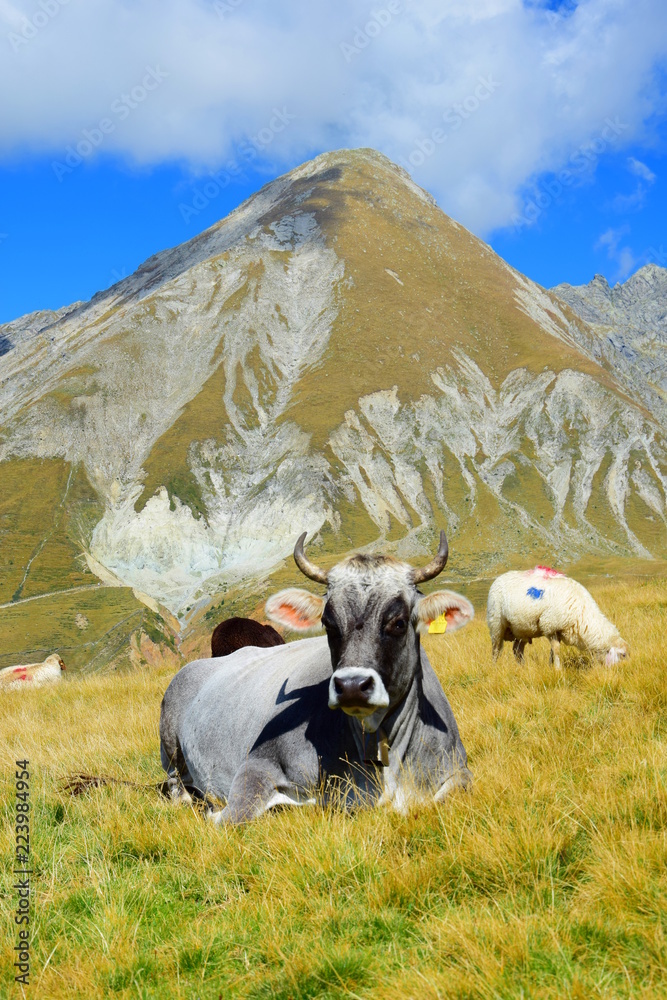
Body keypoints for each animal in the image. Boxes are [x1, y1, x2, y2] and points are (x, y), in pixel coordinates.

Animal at [160, 530, 475, 824]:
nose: (351, 686)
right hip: (169, 746)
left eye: (398, 623)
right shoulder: (256, 763)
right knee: (175, 784)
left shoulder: (459, 770)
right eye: (328, 623)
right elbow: (232, 816)